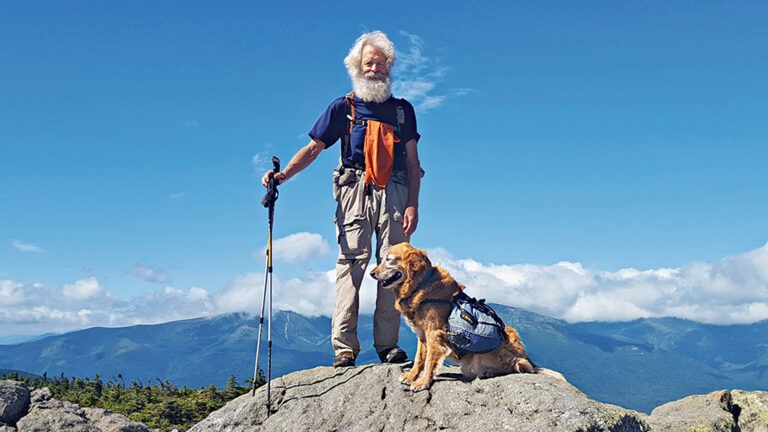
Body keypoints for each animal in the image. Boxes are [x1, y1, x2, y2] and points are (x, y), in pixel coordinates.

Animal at [368, 243, 560, 392]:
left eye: (389, 259)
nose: (371, 273)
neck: (421, 284)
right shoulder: (422, 336)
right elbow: (419, 359)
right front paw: (411, 376)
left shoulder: (434, 334)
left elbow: (429, 361)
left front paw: (423, 382)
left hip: (498, 352)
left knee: (521, 366)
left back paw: (490, 372)